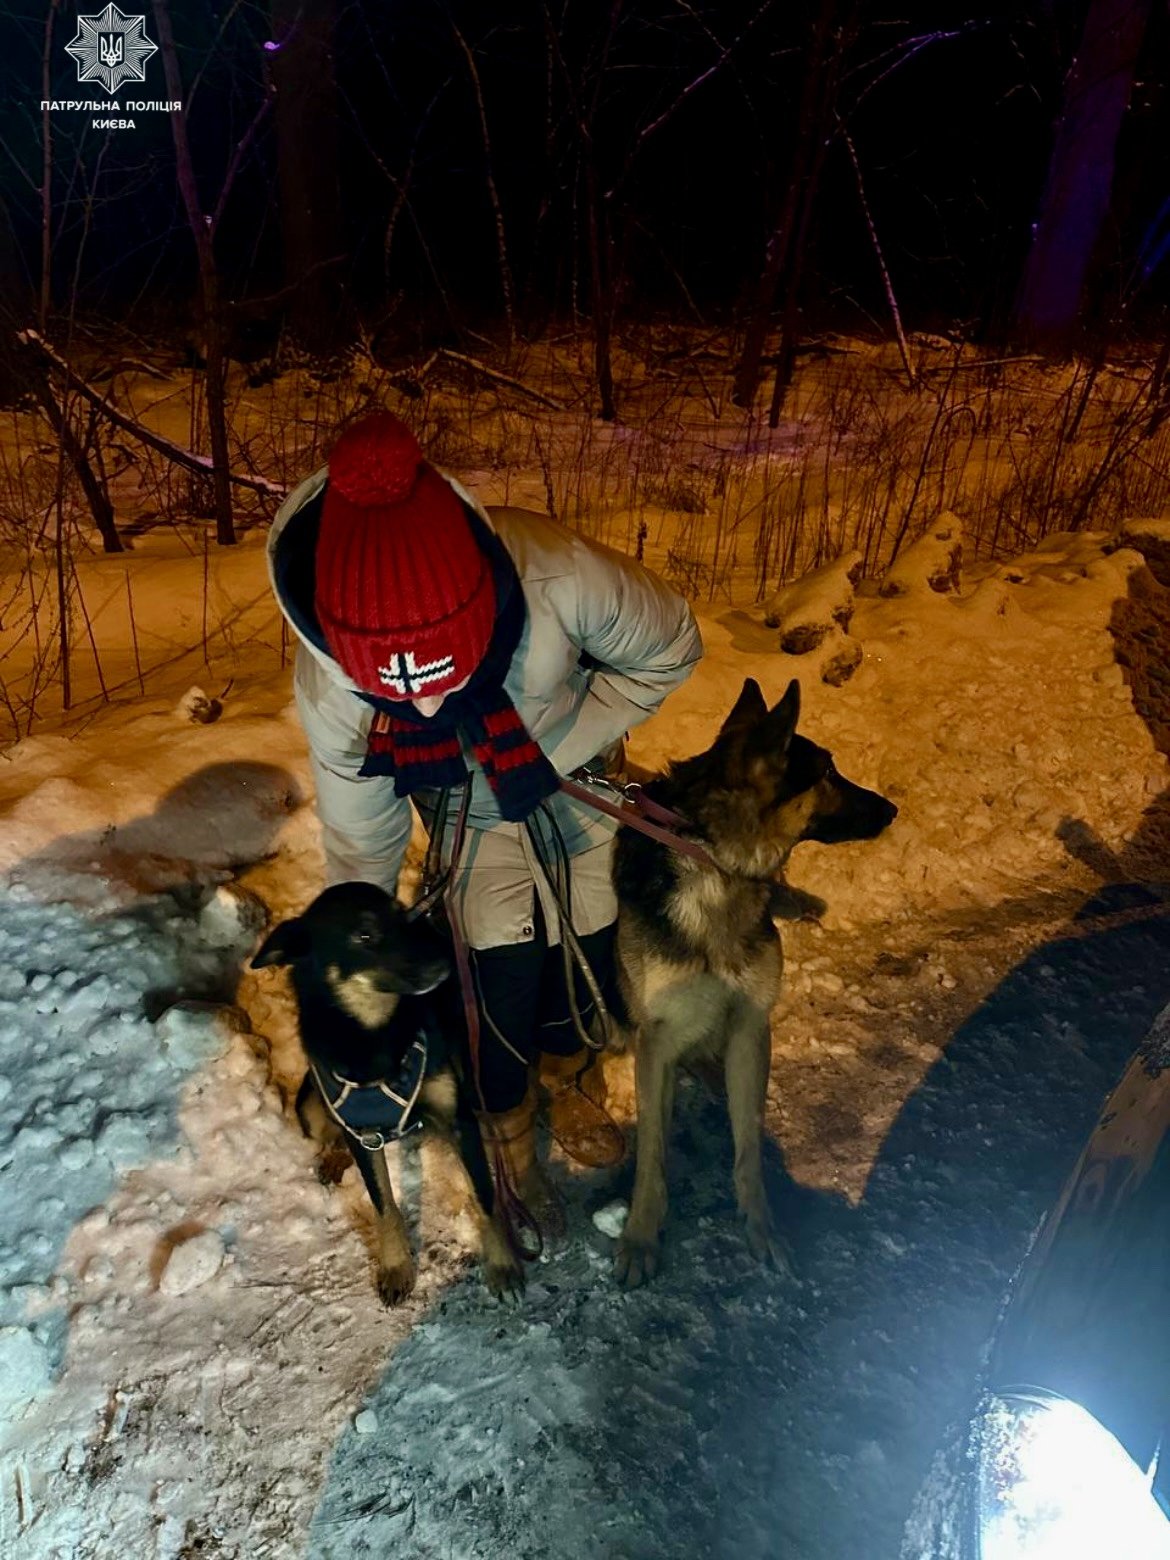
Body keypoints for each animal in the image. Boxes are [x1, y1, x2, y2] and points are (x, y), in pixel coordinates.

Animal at [254, 886, 524, 1310]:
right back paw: (332, 1157)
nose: (444, 962)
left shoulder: (458, 1118)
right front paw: (396, 1266)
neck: (375, 1033)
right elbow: (384, 1205)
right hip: (309, 1104)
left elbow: (484, 1196)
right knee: (327, 1133)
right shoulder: (363, 1133)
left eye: (404, 916)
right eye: (364, 935)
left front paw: (503, 1265)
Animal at [614, 677, 898, 1285]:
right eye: (828, 772)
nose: (892, 808)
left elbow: (748, 1145)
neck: (717, 869)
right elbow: (652, 1154)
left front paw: (761, 1228)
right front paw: (641, 1237)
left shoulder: (750, 1028)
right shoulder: (656, 1040)